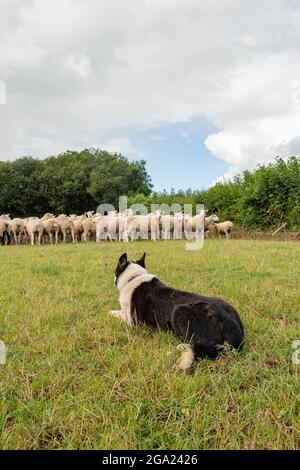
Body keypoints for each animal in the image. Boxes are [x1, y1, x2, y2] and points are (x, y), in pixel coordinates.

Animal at [110, 252, 244, 370]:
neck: (134, 277)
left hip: (179, 311)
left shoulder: (132, 321)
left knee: (202, 348)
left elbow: (117, 313)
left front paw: (110, 312)